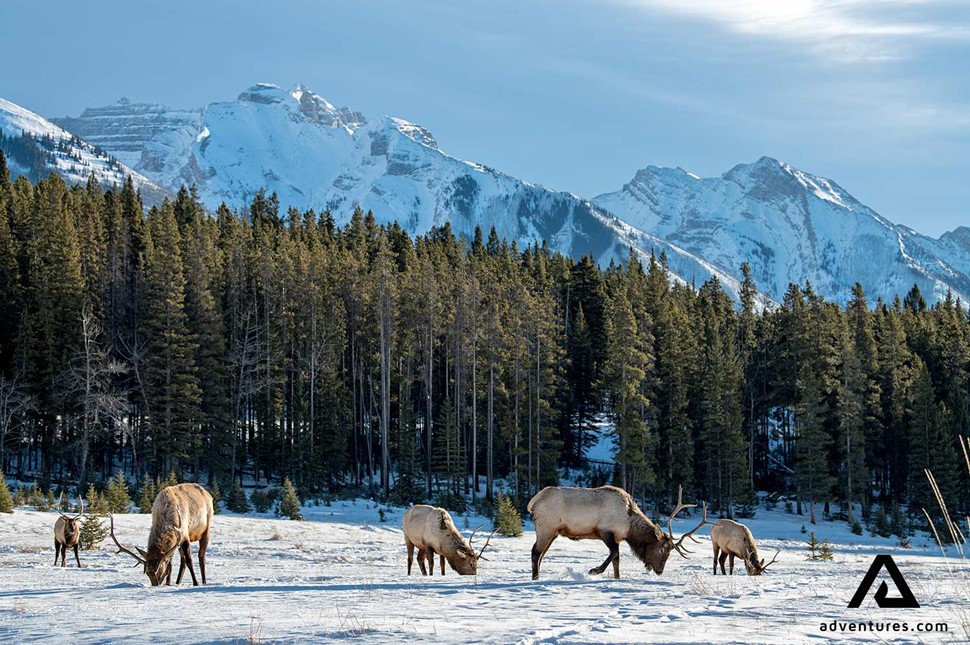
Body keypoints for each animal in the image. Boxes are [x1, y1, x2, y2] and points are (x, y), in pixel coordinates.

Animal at [524, 484, 708, 580]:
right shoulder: (605, 531)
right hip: (546, 528)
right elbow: (614, 554)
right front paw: (594, 570)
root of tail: (533, 502)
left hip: (553, 533)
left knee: (540, 554)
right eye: (662, 549)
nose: (659, 571)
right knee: (535, 552)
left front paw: (617, 577)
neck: (629, 526)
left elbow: (617, 561)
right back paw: (535, 578)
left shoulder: (617, 538)